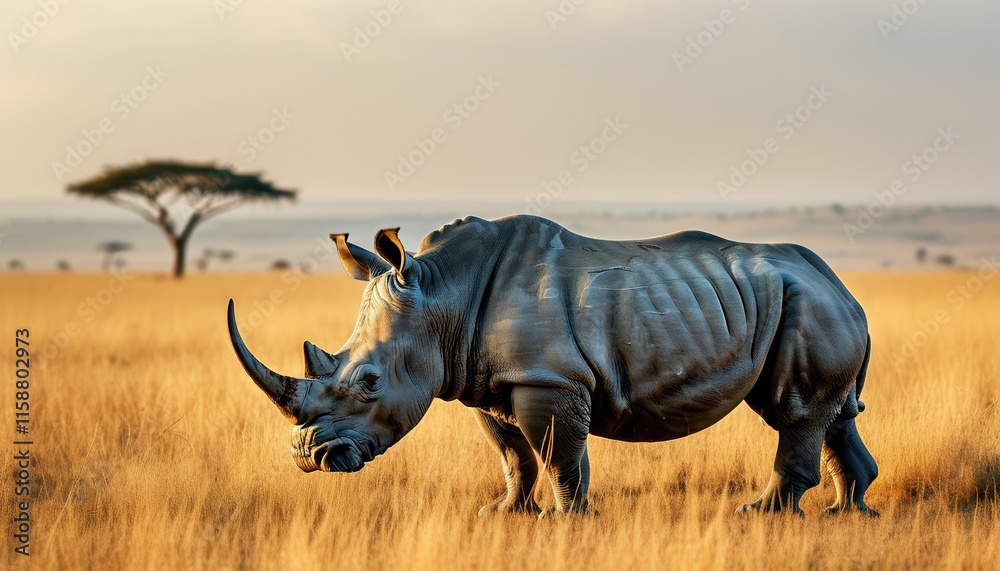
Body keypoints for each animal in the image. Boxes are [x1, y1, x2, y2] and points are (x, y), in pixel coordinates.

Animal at [227, 215, 878, 517]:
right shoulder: (490, 382)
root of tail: (842, 283)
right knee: (830, 413)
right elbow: (515, 455)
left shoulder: (549, 378)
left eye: (369, 384)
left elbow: (558, 453)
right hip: (798, 300)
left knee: (795, 409)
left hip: (808, 302)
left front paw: (567, 521)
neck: (443, 293)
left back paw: (762, 514)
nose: (307, 457)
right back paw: (848, 511)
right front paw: (505, 514)